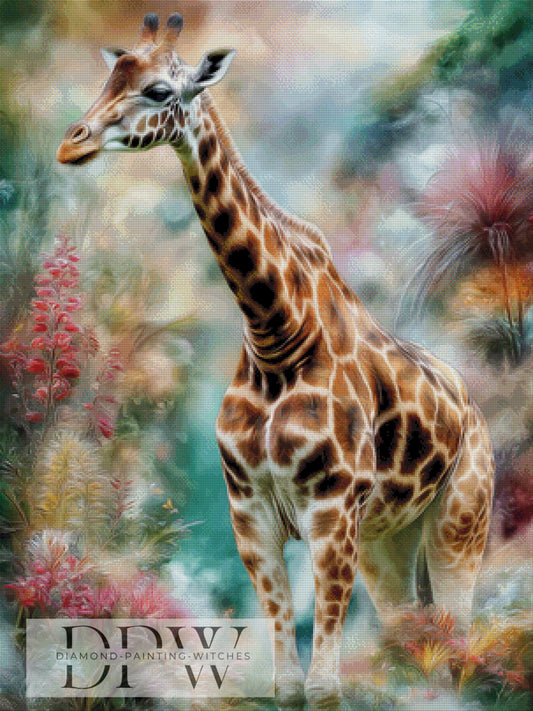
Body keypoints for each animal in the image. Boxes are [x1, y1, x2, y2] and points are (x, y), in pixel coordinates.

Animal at [57, 14, 494, 710]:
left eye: (158, 91)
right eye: (108, 79)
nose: (71, 146)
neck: (277, 334)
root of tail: (472, 404)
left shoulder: (332, 509)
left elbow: (324, 687)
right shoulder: (251, 510)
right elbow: (288, 677)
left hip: (460, 521)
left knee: (459, 641)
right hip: (391, 539)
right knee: (414, 638)